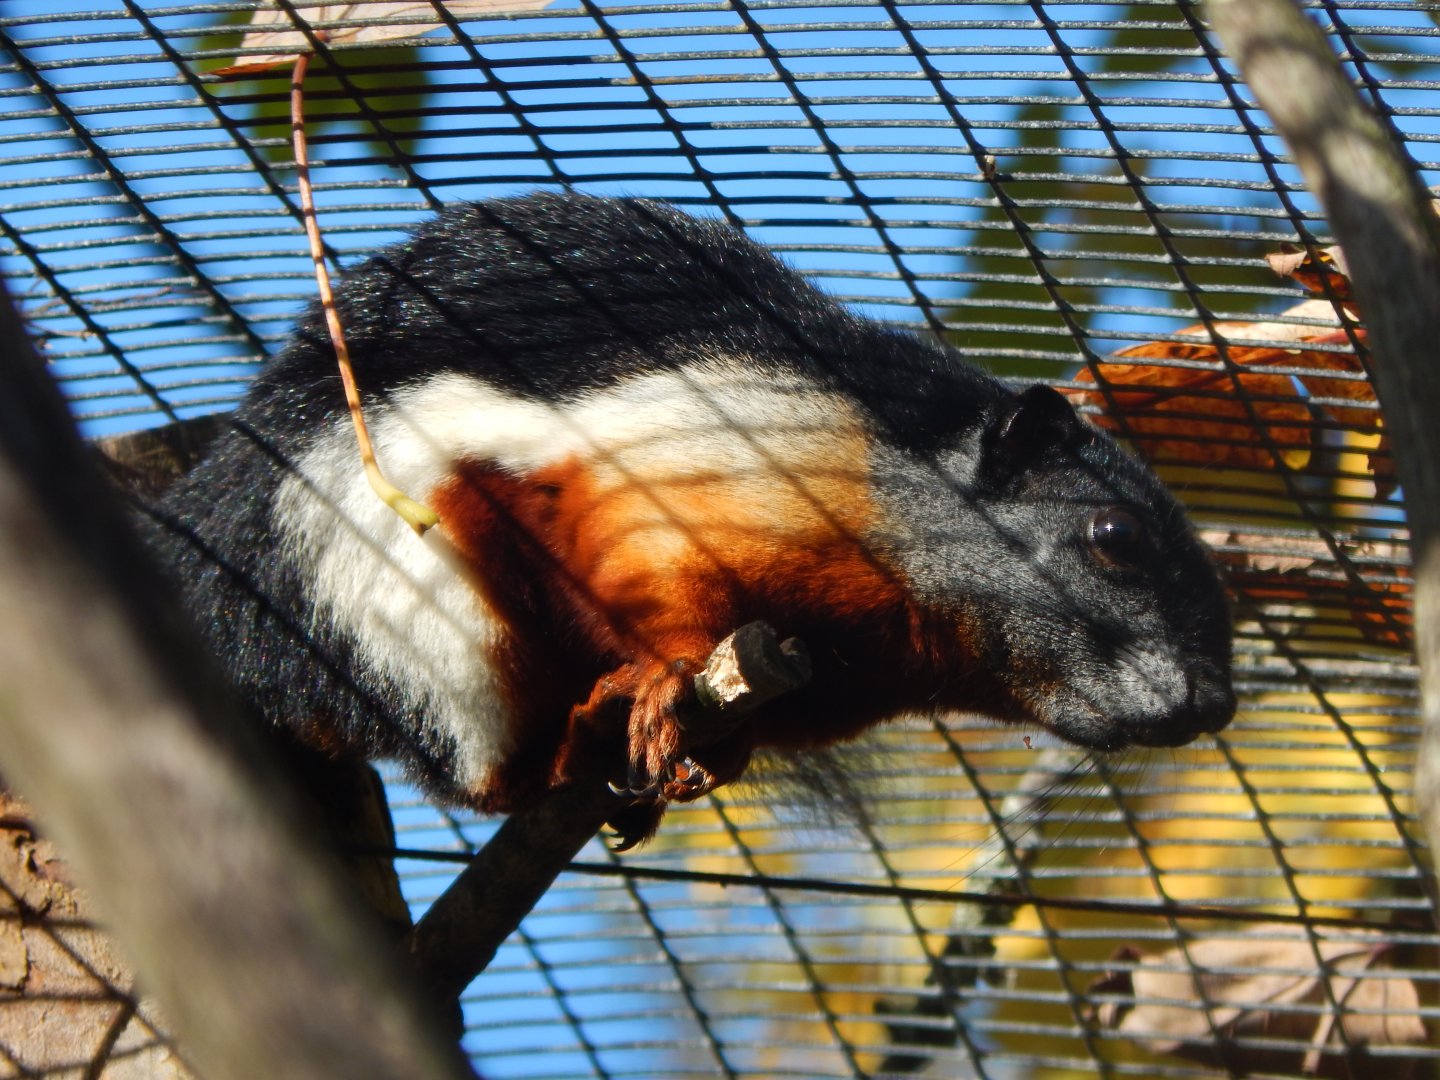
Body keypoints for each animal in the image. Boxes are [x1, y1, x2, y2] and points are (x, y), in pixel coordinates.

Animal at [142, 192, 1235, 848]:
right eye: (1115, 539)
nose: (1217, 704)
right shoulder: (684, 478)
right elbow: (657, 587)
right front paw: (666, 679)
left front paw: (718, 755)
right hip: (402, 603)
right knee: (482, 770)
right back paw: (570, 743)